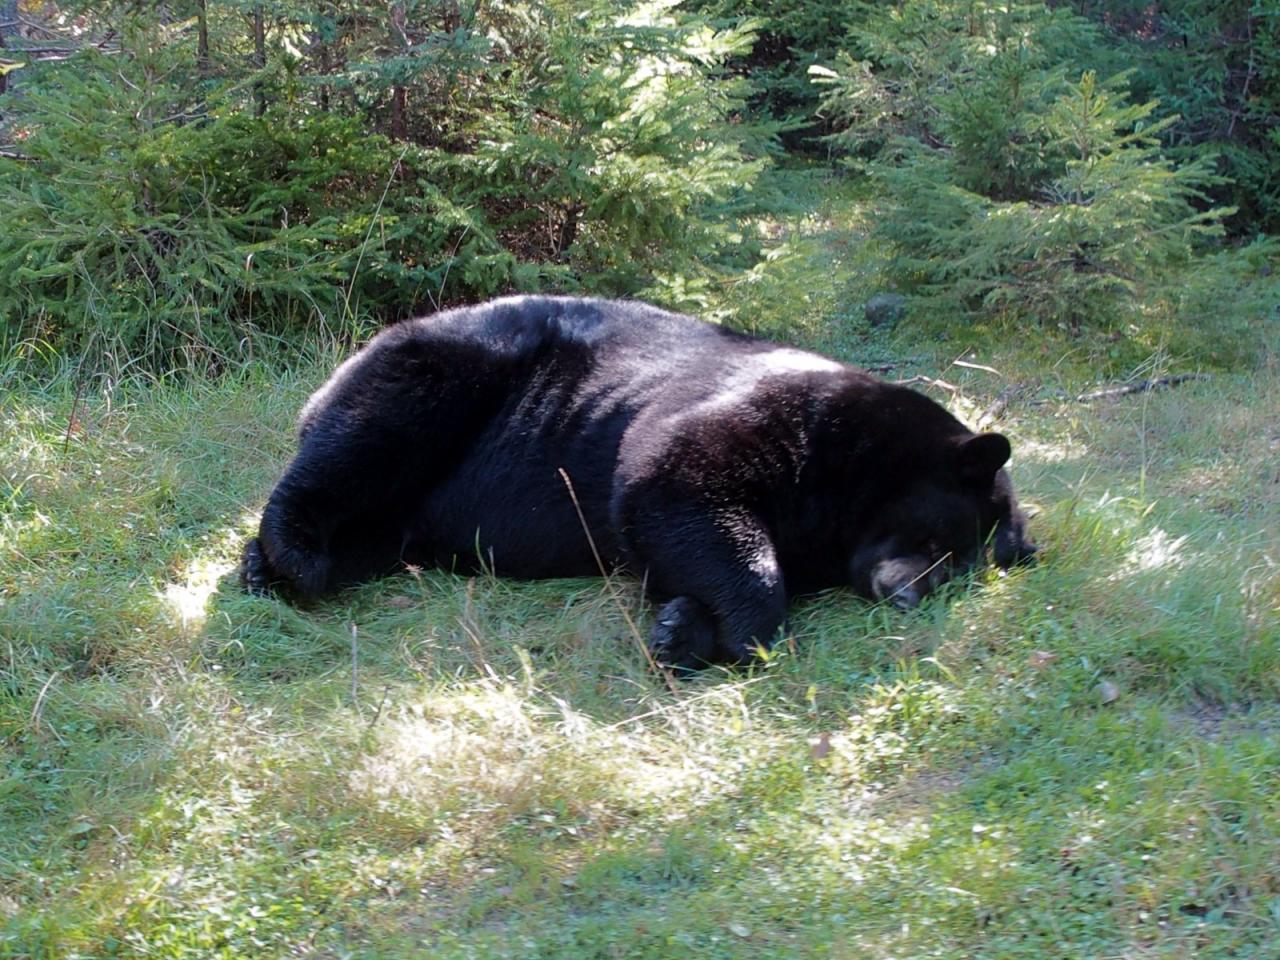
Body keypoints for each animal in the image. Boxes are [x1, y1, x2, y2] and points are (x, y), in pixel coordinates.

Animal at [241, 296, 1039, 670]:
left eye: (965, 568)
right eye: (943, 540)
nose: (908, 594)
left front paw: (681, 625)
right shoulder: (780, 416)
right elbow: (674, 480)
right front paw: (733, 626)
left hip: (405, 505)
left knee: (373, 523)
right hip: (448, 368)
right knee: (367, 437)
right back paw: (291, 554)